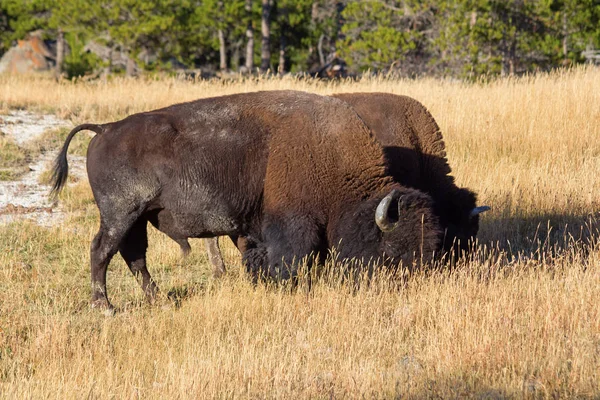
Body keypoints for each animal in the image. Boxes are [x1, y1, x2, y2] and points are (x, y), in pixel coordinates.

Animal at [52, 90, 440, 310]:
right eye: (392, 250)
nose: (410, 286)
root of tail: (105, 129)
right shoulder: (292, 224)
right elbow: (292, 259)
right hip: (120, 214)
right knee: (102, 250)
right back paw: (104, 306)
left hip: (138, 218)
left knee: (134, 256)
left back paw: (158, 301)